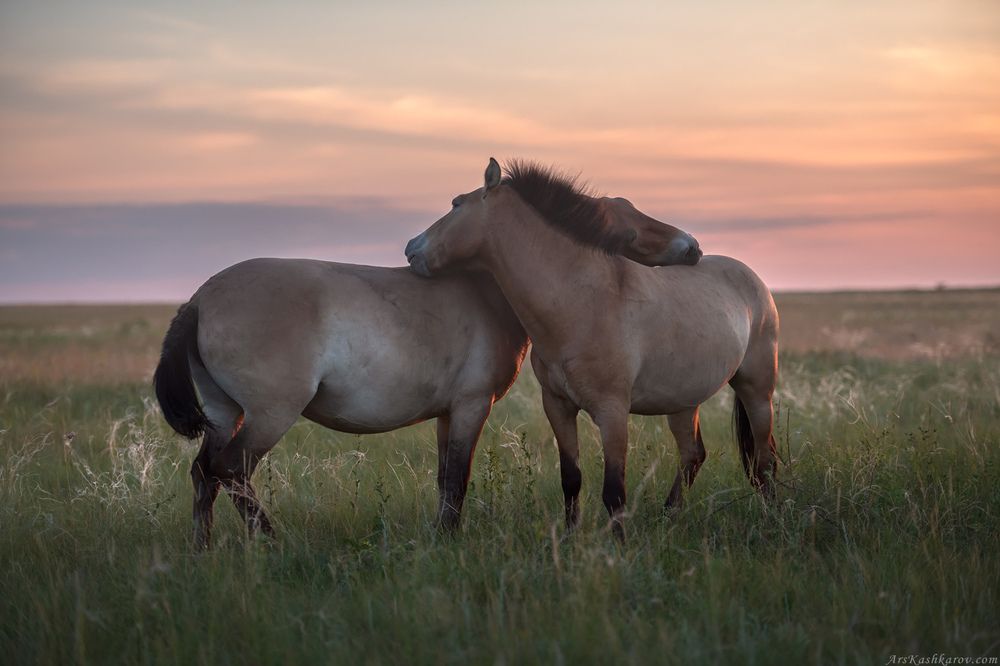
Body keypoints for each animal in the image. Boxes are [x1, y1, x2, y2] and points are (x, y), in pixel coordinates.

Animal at [154, 200, 698, 548]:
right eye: (621, 226)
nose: (691, 246)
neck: (490, 290)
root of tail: (201, 297)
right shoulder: (472, 406)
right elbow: (458, 478)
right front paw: (450, 541)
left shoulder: (446, 414)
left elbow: (444, 478)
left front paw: (441, 535)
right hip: (269, 415)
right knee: (232, 472)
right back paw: (271, 541)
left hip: (226, 413)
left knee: (204, 474)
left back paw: (203, 550)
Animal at [405, 159, 779, 539]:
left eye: (456, 204)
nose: (411, 248)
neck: (582, 302)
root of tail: (752, 279)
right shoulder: (558, 406)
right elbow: (571, 479)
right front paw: (571, 537)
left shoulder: (612, 412)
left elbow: (614, 490)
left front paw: (619, 545)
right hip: (683, 402)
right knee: (693, 455)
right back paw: (669, 517)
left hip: (757, 391)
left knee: (763, 461)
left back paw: (769, 519)